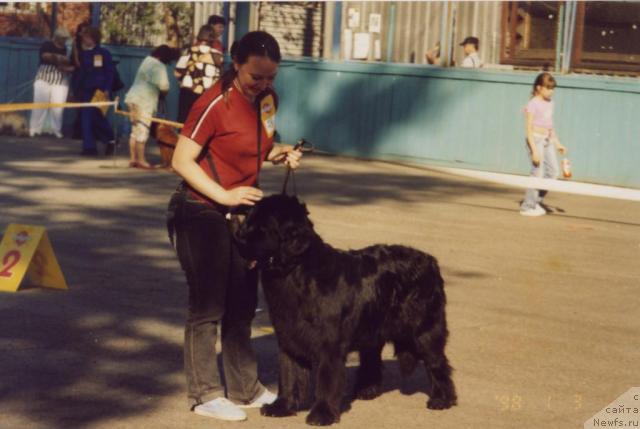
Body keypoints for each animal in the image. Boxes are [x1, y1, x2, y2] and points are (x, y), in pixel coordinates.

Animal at [235, 195, 456, 424]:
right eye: (247, 221)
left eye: (263, 228)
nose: (238, 240)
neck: (296, 273)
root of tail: (431, 261)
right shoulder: (289, 338)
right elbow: (289, 376)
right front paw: (281, 407)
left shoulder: (330, 345)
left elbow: (326, 380)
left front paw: (322, 414)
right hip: (372, 328)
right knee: (371, 359)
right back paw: (367, 391)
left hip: (424, 330)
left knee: (438, 362)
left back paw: (441, 399)